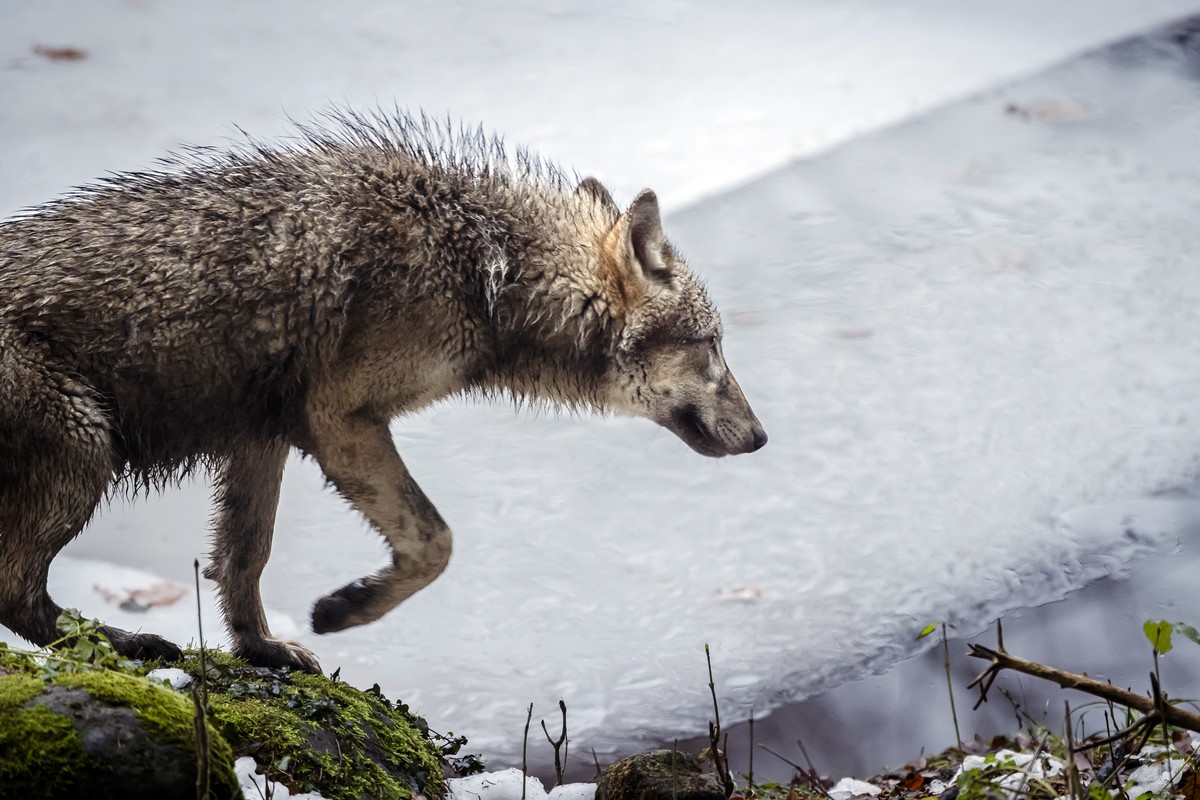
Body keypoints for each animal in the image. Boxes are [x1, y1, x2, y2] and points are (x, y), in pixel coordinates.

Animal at [0, 111, 767, 673]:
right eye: (712, 346)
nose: (762, 438)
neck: (487, 270)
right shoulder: (339, 420)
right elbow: (436, 542)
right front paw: (345, 609)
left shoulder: (264, 435)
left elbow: (243, 559)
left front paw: (262, 650)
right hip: (85, 454)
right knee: (17, 593)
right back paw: (130, 646)